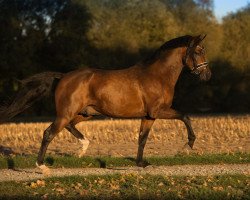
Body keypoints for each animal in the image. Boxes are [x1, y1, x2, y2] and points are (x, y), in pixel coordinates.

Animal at [0, 34, 211, 173]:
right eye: (198, 51)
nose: (207, 74)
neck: (157, 76)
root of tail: (64, 76)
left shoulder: (149, 116)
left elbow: (142, 139)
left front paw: (141, 163)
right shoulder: (159, 111)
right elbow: (185, 116)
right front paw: (188, 146)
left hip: (85, 113)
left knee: (69, 127)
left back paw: (82, 150)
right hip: (68, 113)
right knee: (48, 133)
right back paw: (42, 166)